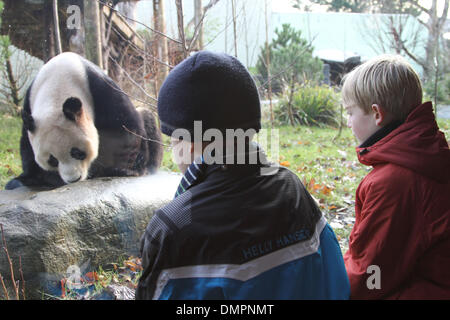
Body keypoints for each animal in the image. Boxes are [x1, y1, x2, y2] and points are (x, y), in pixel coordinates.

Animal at [5, 51, 163, 189]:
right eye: (52, 160)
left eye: (77, 152)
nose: (73, 179)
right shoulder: (29, 106)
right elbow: (26, 145)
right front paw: (25, 179)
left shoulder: (98, 88)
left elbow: (126, 127)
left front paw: (126, 170)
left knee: (147, 119)